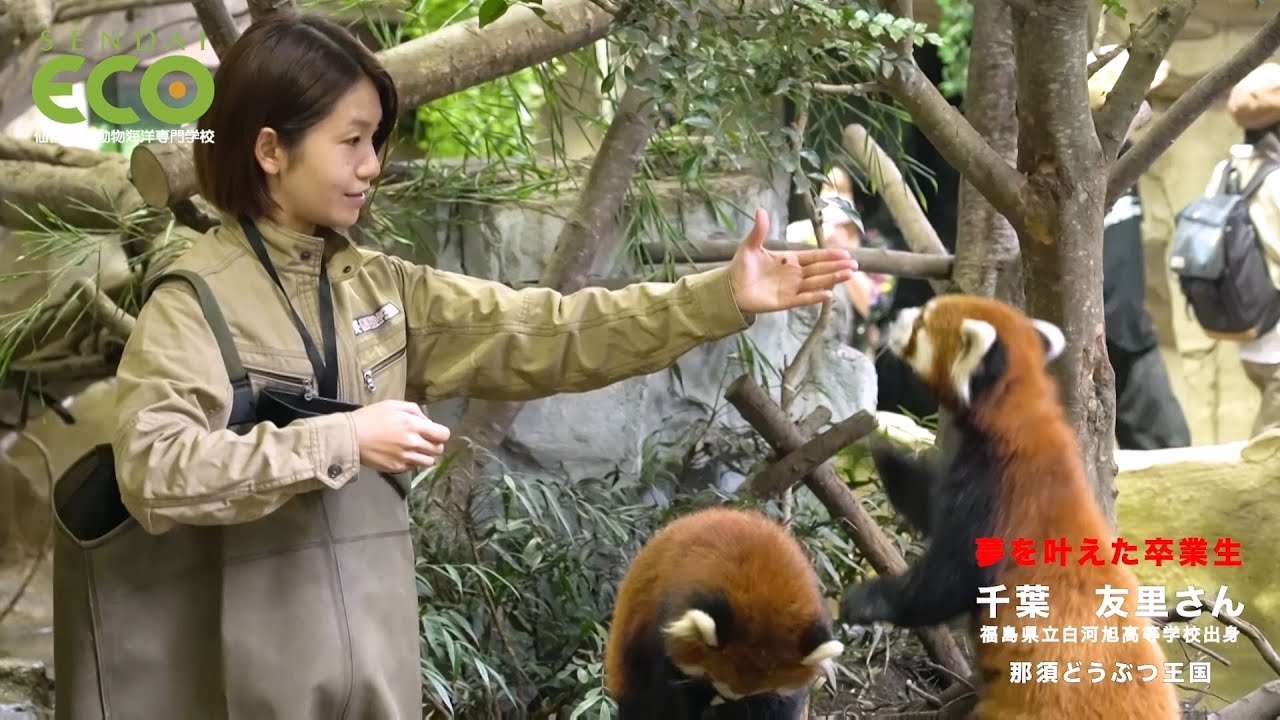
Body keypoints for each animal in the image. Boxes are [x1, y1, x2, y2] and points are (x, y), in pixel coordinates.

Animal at [839, 295, 1177, 717]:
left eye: (920, 324)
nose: (896, 315)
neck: (1016, 416)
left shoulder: (998, 494)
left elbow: (948, 582)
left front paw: (868, 600)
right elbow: (928, 505)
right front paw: (885, 453)